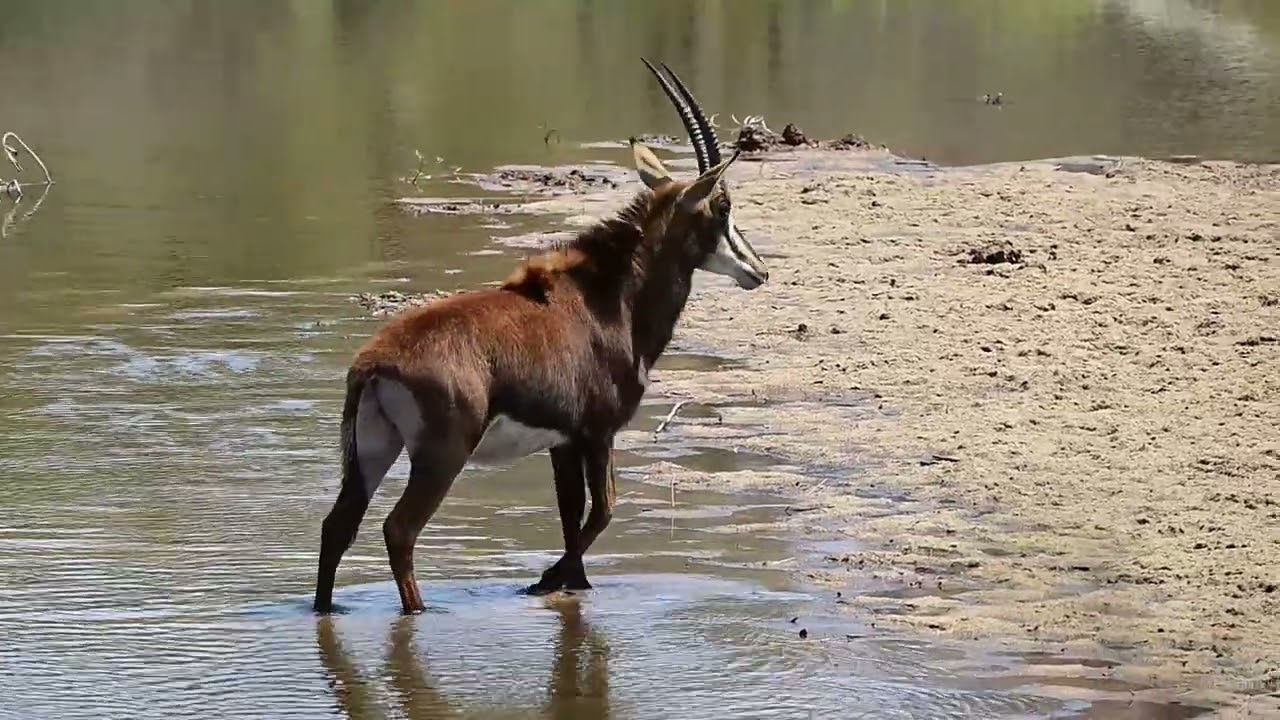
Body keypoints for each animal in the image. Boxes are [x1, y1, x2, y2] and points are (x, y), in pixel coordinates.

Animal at [313, 58, 770, 615]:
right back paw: (419, 610)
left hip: (375, 450)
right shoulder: (598, 432)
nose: (758, 270)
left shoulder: (562, 441)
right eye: (723, 208)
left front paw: (572, 582)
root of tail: (374, 364)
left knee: (338, 526)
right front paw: (549, 579)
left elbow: (571, 513)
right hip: (441, 455)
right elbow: (604, 510)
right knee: (398, 530)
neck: (608, 299)